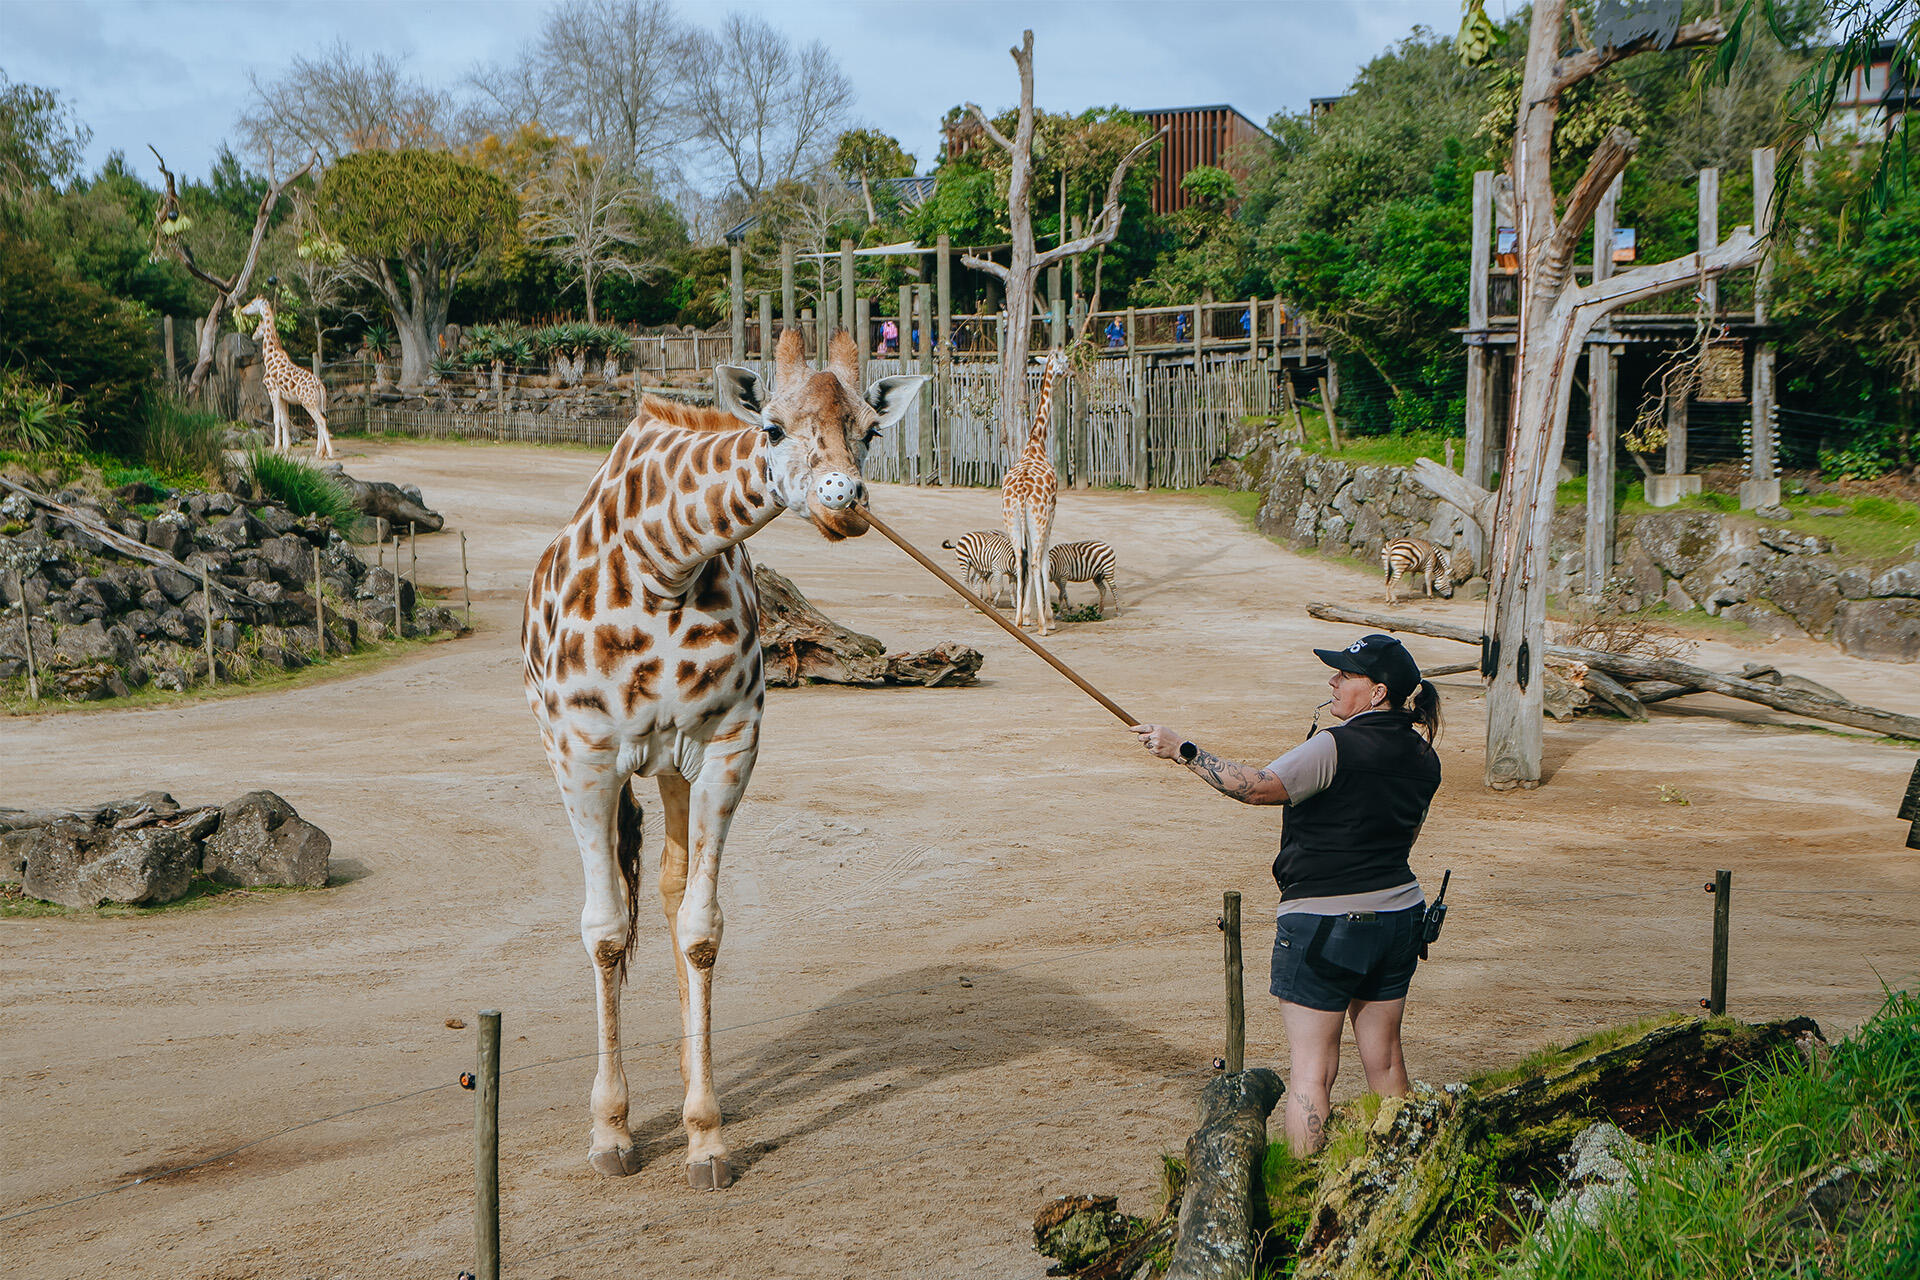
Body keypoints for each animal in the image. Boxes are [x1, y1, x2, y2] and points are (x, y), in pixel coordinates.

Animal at [238, 295, 333, 458]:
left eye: (252, 303)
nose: (243, 310)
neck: (270, 357)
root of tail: (320, 385)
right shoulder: (284, 398)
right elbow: (285, 421)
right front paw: (286, 448)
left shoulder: (273, 391)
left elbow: (276, 420)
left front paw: (276, 448)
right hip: (318, 403)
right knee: (320, 421)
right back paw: (320, 452)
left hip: (308, 402)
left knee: (321, 421)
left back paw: (329, 453)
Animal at [522, 329, 922, 1189]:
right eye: (770, 427)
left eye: (871, 431)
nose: (845, 503)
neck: (664, 564)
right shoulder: (584, 751)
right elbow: (605, 930)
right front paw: (611, 1133)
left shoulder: (727, 744)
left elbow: (701, 928)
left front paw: (705, 1137)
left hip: (672, 767)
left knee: (673, 890)